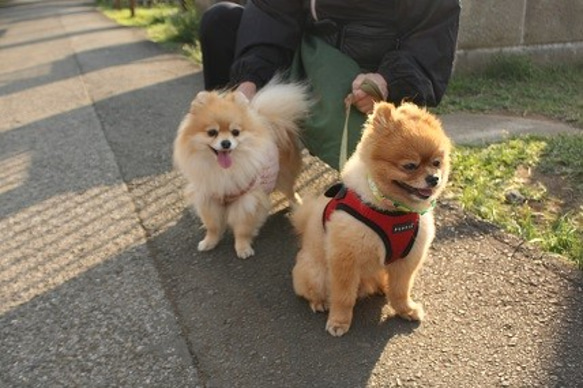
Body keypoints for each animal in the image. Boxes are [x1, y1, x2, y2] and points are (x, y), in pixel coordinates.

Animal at [173, 79, 310, 260]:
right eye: (212, 132)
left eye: (235, 132)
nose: (226, 143)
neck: (223, 170)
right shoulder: (208, 198)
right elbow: (213, 226)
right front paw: (209, 241)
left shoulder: (247, 201)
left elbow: (242, 229)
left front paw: (243, 248)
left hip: (283, 175)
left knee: (290, 190)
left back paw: (297, 206)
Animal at [290, 101, 452, 336]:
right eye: (410, 166)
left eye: (436, 163)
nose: (434, 179)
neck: (393, 210)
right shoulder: (345, 259)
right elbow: (343, 296)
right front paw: (339, 322)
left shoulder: (408, 259)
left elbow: (401, 289)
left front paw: (405, 309)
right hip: (316, 272)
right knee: (313, 290)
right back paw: (319, 302)